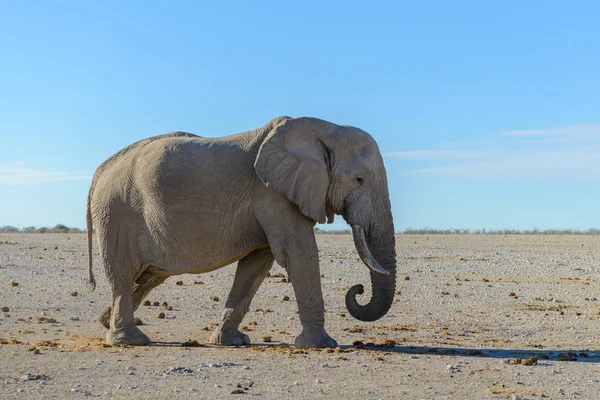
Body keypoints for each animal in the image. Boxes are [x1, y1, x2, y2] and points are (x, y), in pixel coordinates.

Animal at [86, 115, 396, 346]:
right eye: (359, 179)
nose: (357, 289)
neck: (325, 129)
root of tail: (100, 170)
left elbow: (257, 264)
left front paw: (231, 341)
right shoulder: (273, 194)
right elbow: (299, 253)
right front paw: (321, 345)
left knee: (149, 277)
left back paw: (105, 321)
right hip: (116, 213)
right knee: (123, 274)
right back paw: (130, 340)